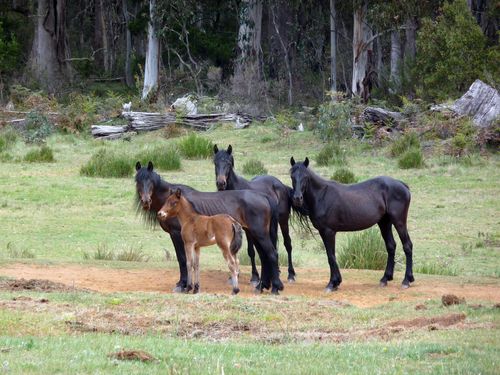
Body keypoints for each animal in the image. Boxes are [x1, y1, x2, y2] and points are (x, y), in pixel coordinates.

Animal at [137, 161, 284, 294]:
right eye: (138, 181)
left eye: (150, 181)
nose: (146, 201)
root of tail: (263, 196)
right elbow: (193, 263)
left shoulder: (177, 236)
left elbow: (183, 260)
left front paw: (182, 285)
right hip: (254, 234)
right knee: (264, 257)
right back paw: (261, 286)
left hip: (259, 234)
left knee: (271, 254)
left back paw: (275, 287)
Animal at [212, 145, 296, 284]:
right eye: (215, 163)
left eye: (228, 163)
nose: (220, 183)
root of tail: (281, 184)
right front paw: (233, 276)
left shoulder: (247, 228)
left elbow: (251, 251)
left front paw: (255, 277)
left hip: (283, 220)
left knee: (287, 244)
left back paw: (291, 275)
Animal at [290, 157, 414, 292]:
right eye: (292, 176)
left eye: (305, 177)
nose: (297, 198)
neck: (322, 195)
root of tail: (402, 185)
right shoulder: (324, 232)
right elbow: (331, 255)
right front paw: (336, 282)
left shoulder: (328, 232)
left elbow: (331, 256)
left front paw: (332, 283)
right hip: (384, 223)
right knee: (391, 246)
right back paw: (385, 278)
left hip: (399, 221)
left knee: (407, 246)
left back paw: (406, 280)